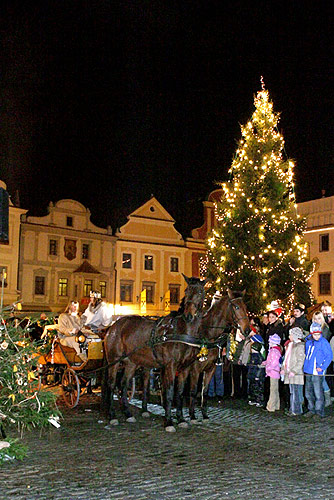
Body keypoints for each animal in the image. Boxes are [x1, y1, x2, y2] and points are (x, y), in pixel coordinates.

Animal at [103, 288, 249, 432]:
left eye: (245, 307)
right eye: (236, 307)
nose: (247, 330)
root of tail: (114, 326)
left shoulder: (210, 368)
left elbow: (203, 391)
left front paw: (203, 415)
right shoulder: (193, 369)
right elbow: (191, 391)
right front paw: (191, 416)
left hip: (132, 363)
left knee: (124, 384)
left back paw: (129, 413)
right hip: (114, 361)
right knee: (112, 384)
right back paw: (112, 416)